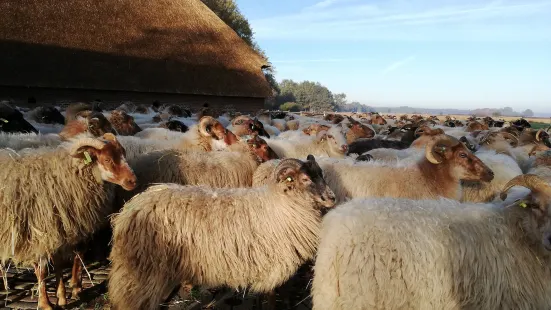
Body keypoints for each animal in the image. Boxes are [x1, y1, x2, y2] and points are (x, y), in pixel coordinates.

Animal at [0, 133, 137, 310]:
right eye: (107, 159)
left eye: (123, 153)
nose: (133, 181)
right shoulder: (37, 234)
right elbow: (42, 270)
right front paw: (45, 303)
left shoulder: (61, 230)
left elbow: (60, 263)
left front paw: (62, 297)